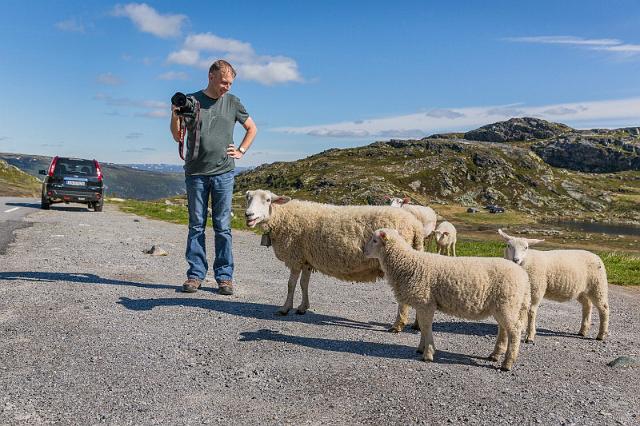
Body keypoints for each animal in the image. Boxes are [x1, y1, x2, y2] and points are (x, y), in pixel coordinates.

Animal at [244, 190, 424, 332]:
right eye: (248, 198)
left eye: (268, 200)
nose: (248, 215)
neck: (283, 216)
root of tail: (415, 225)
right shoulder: (307, 259)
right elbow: (303, 284)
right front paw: (302, 307)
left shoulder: (295, 257)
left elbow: (291, 285)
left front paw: (285, 308)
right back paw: (417, 324)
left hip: (398, 261)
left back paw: (397, 325)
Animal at [364, 228, 528, 372]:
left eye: (374, 240)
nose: (363, 251)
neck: (407, 263)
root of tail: (522, 274)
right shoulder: (422, 304)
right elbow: (423, 327)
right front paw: (421, 348)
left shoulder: (426, 303)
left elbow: (426, 327)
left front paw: (428, 353)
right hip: (502, 305)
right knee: (503, 329)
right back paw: (495, 355)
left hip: (507, 303)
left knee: (514, 331)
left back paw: (507, 363)